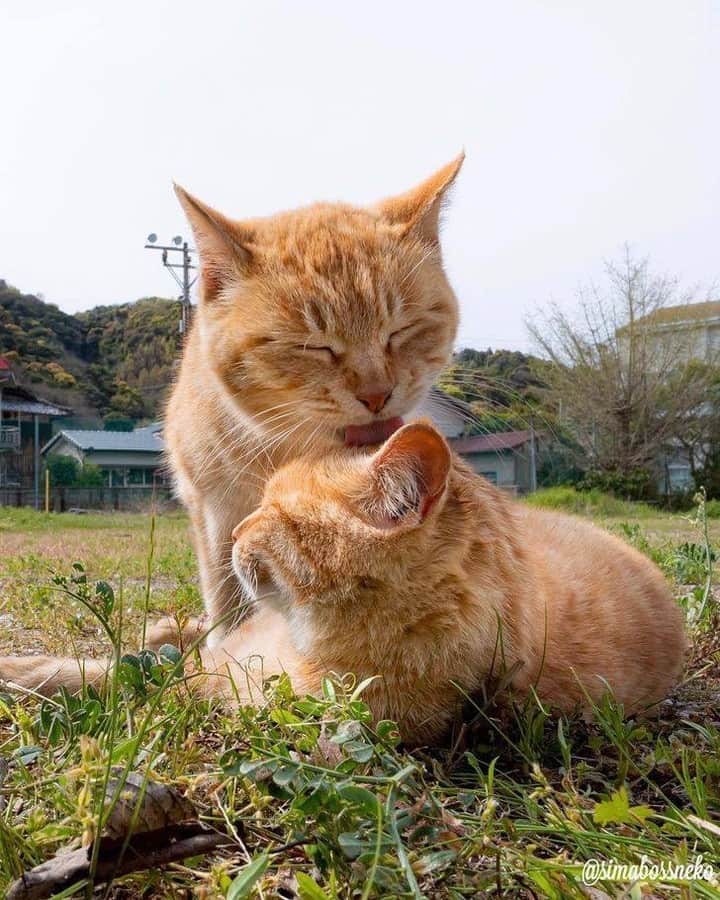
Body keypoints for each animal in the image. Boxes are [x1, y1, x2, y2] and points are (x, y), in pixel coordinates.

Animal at [0, 422, 688, 744]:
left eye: (273, 513)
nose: (234, 532)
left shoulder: (214, 688)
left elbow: (115, 678)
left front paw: (26, 675)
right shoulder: (225, 660)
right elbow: (124, 665)